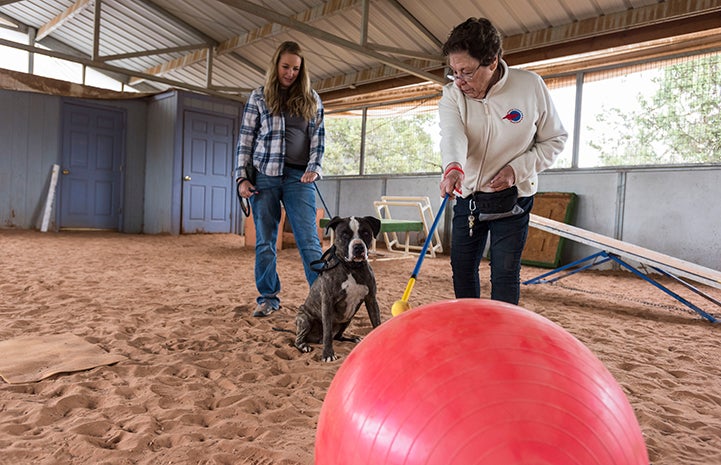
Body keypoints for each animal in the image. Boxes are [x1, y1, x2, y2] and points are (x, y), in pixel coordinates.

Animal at [294, 216, 382, 360]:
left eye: (366, 233)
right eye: (345, 234)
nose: (358, 247)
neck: (352, 268)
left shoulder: (371, 300)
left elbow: (377, 323)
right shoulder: (327, 302)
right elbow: (328, 333)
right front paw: (328, 354)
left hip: (348, 319)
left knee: (338, 336)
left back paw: (352, 339)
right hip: (304, 319)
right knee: (299, 339)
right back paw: (304, 346)